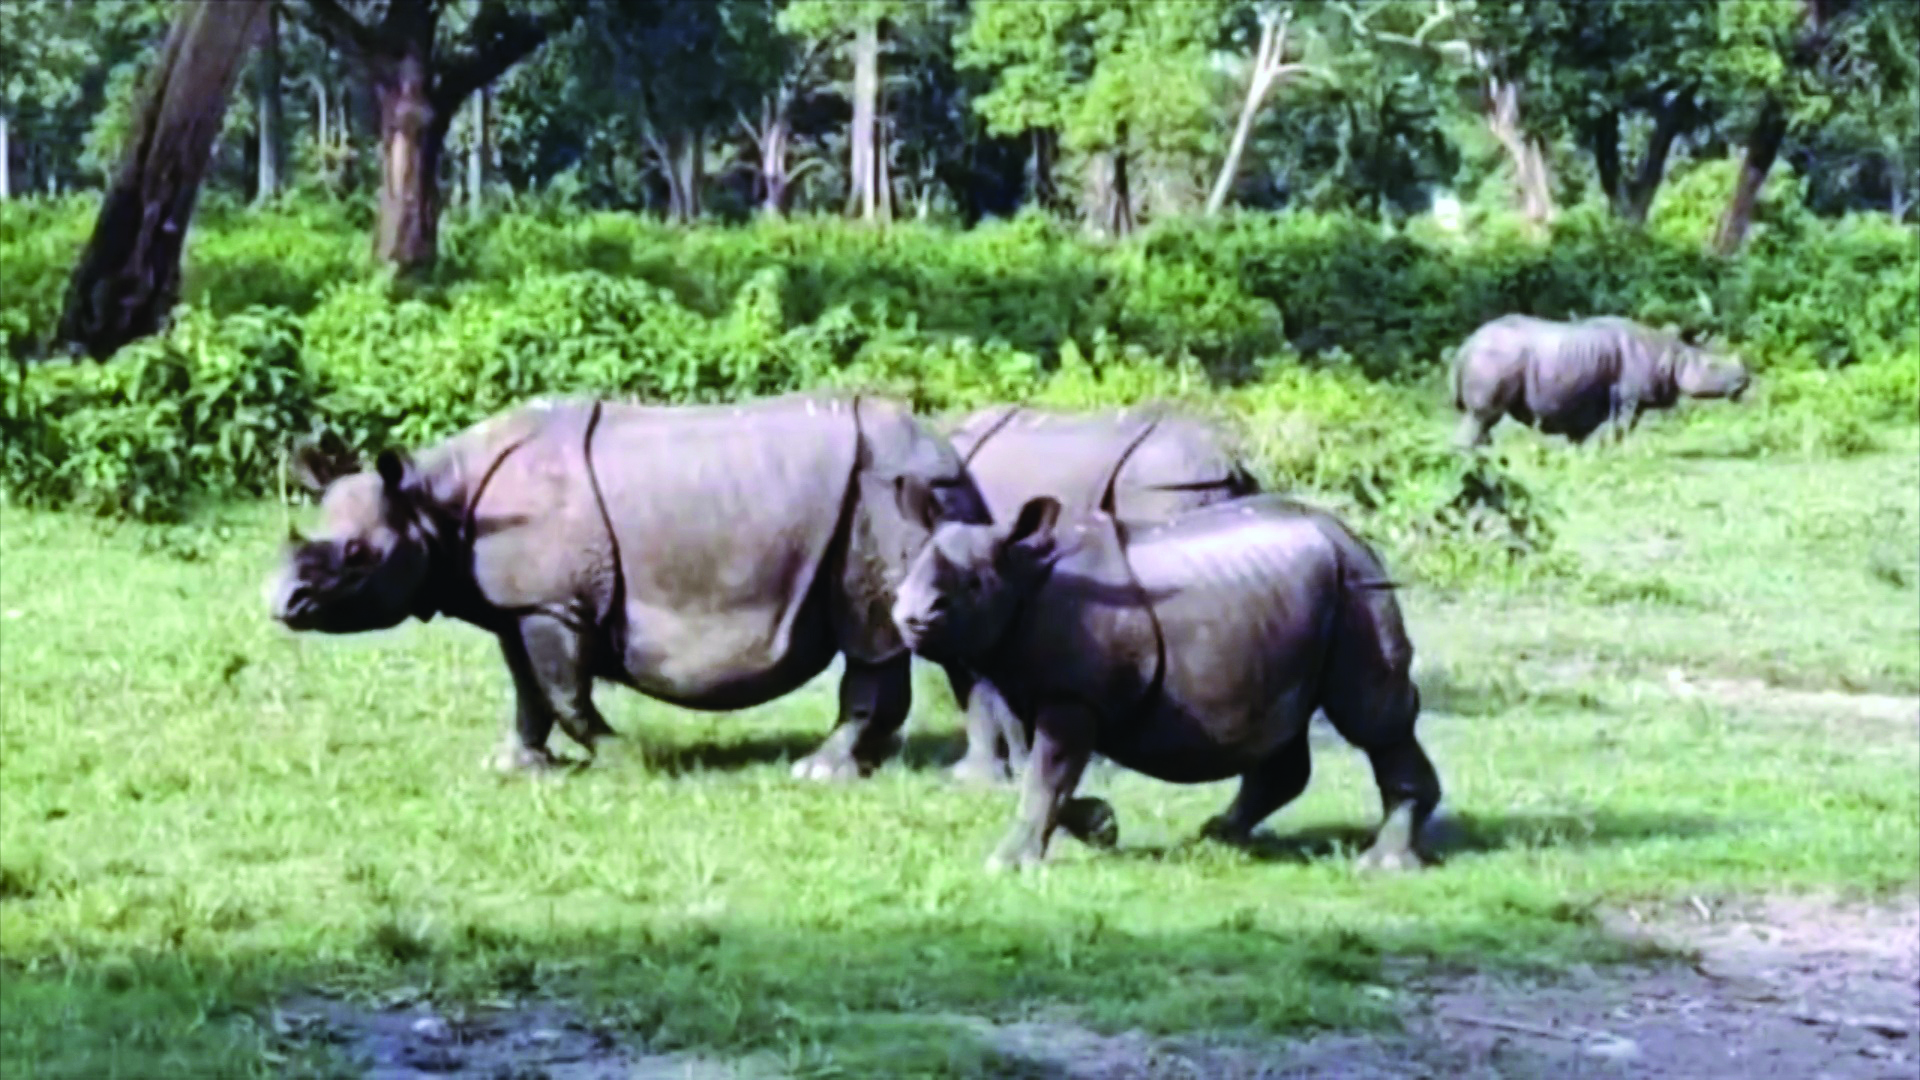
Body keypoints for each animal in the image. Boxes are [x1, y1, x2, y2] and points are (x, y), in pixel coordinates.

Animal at [267, 392, 1000, 781]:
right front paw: (517, 766)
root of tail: (953, 456)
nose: (280, 604)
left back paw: (821, 773)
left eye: (358, 556)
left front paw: (632, 759)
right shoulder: (520, 604)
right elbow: (528, 691)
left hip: (886, 495)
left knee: (875, 634)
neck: (432, 501)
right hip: (910, 498)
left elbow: (564, 691)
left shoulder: (552, 603)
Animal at [891, 492, 1441, 873]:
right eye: (909, 571)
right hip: (1302, 599)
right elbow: (1038, 771)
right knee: (1286, 726)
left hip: (1357, 588)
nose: (911, 616)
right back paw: (1217, 836)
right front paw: (1101, 825)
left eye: (974, 584)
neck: (1021, 573)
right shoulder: (1024, 682)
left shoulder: (1072, 696)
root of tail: (1349, 534)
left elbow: (1045, 776)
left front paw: (1006, 863)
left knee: (1371, 719)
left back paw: (1383, 865)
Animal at [1452, 314, 1751, 448]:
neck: (1671, 354)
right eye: (1712, 367)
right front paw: (1616, 451)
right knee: (1482, 416)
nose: (1745, 381)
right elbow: (1622, 427)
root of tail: (1466, 345)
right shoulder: (1629, 396)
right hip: (1495, 358)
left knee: (1483, 421)